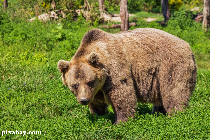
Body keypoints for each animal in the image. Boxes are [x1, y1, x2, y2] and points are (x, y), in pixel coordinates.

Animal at [57, 28, 197, 123]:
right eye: (74, 85)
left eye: (90, 81)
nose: (83, 100)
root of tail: (187, 45)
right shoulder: (97, 89)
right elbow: (97, 102)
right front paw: (98, 115)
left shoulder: (114, 70)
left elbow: (122, 95)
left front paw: (121, 121)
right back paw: (158, 113)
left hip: (170, 66)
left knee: (174, 91)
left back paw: (175, 115)